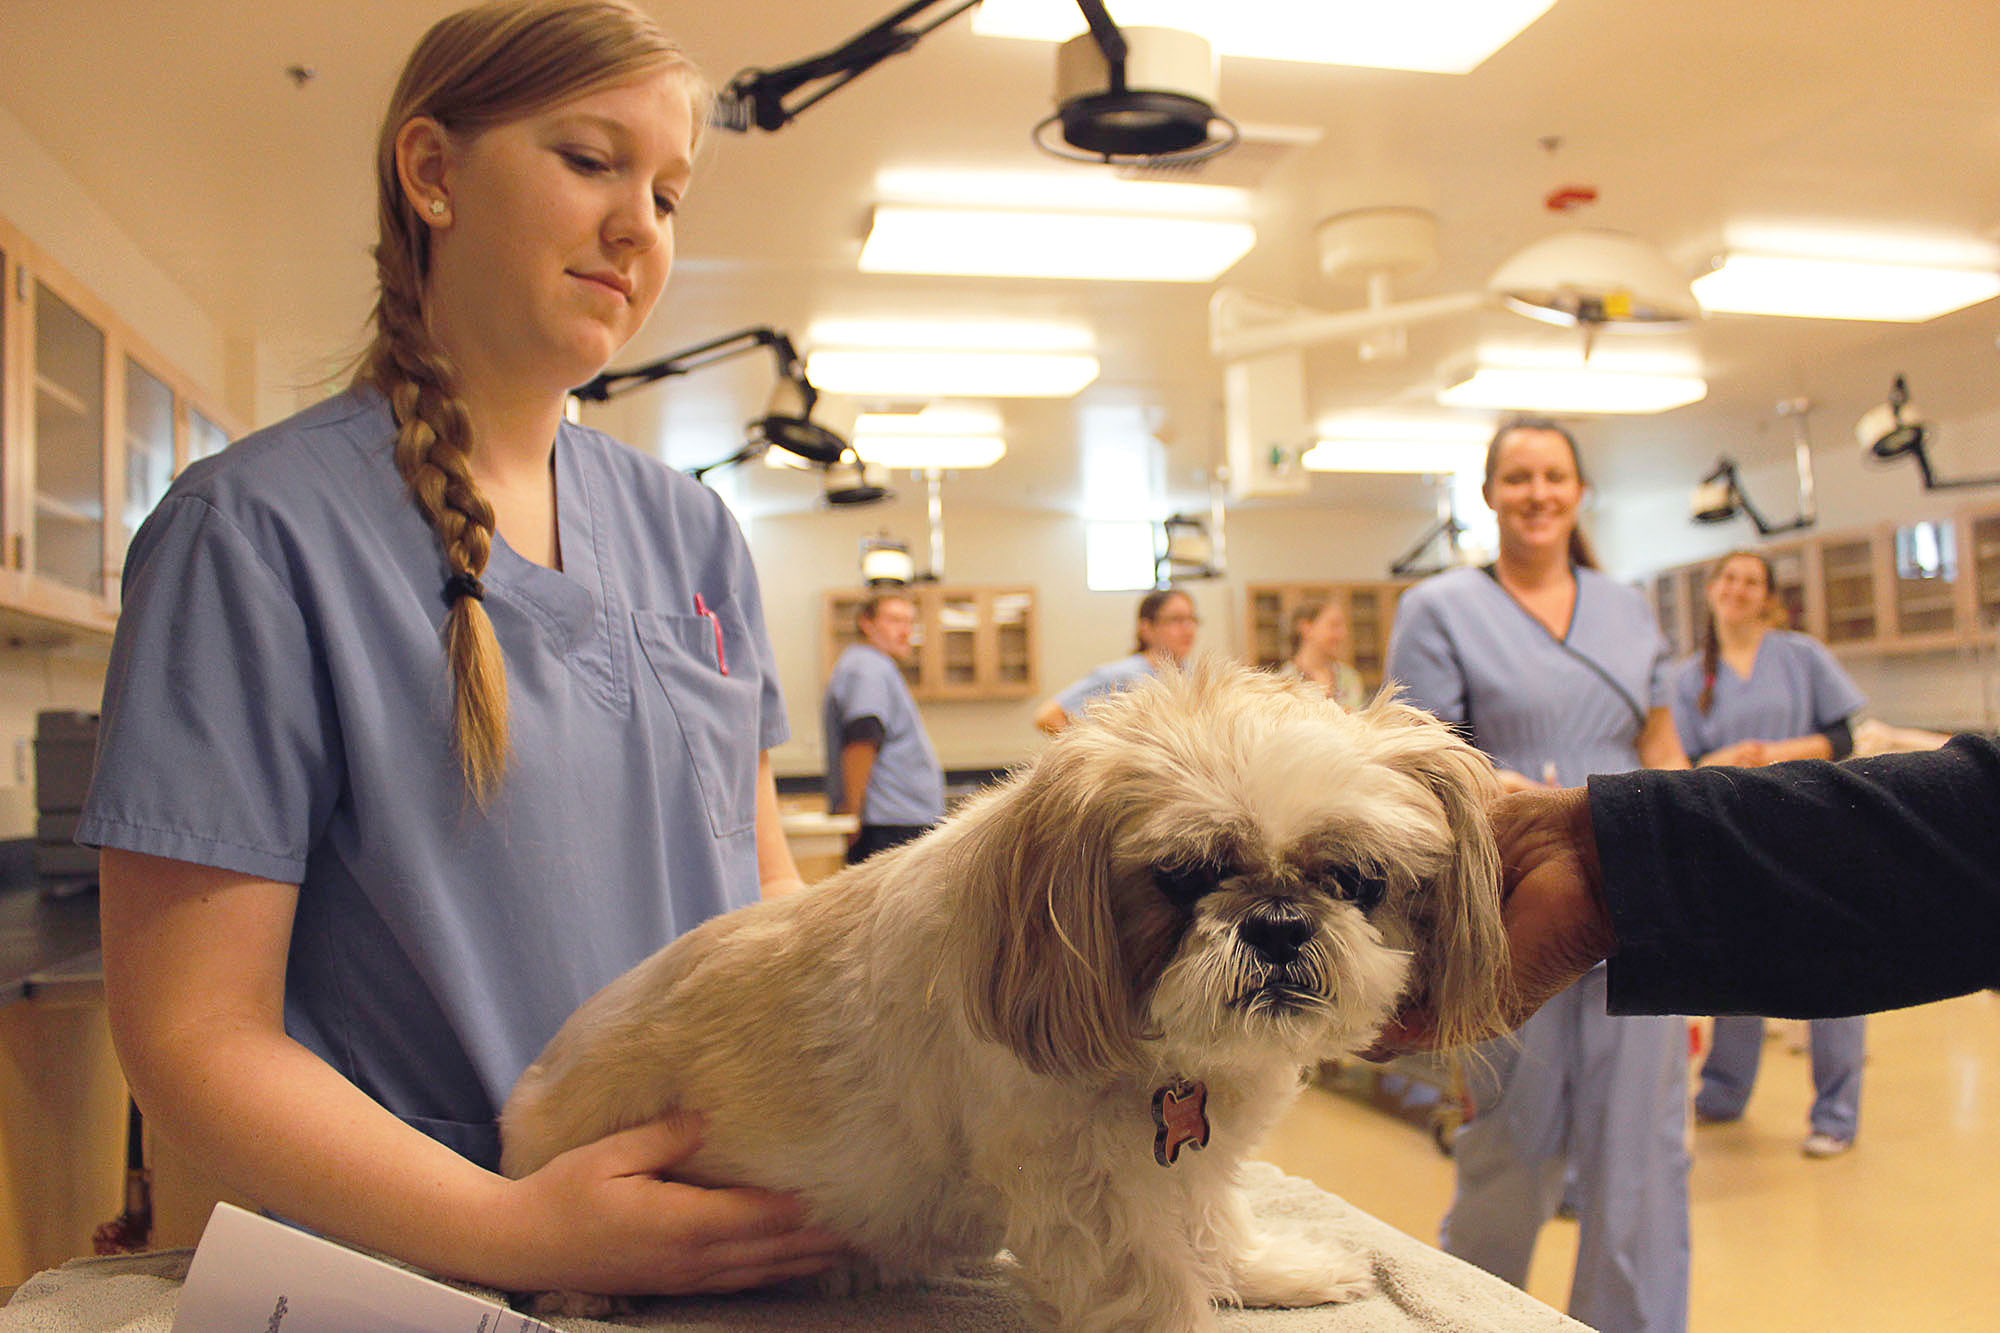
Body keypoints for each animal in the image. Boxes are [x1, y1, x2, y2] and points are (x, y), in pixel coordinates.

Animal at [500, 660, 1504, 1320]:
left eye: (1358, 879)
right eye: (1183, 875)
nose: (1281, 922)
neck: (1167, 1055)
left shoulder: (1183, 1164)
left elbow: (1212, 1220)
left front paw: (1267, 1273)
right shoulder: (1092, 1199)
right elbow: (1161, 1282)